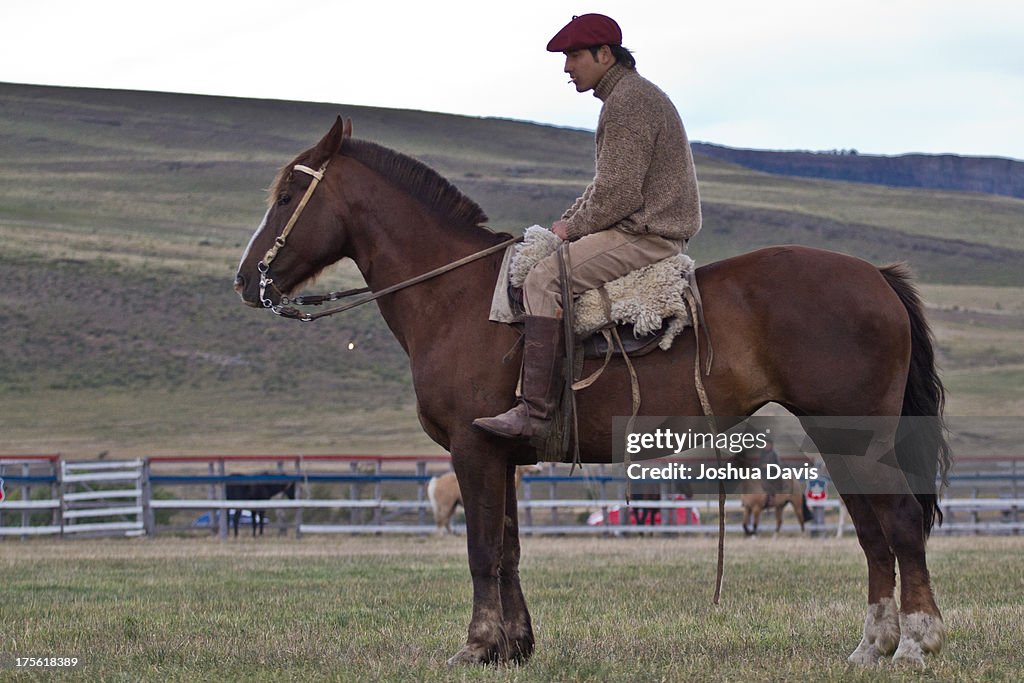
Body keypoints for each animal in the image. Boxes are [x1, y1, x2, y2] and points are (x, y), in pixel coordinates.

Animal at [234, 117, 950, 667]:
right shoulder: (502, 456)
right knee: (872, 531)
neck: (456, 299)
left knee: (899, 522)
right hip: (841, 440)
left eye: (287, 194)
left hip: (857, 436)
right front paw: (514, 647)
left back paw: (918, 643)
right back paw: (873, 645)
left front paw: (477, 645)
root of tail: (875, 277)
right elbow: (510, 548)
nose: (246, 280)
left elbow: (481, 550)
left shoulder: (472, 450)